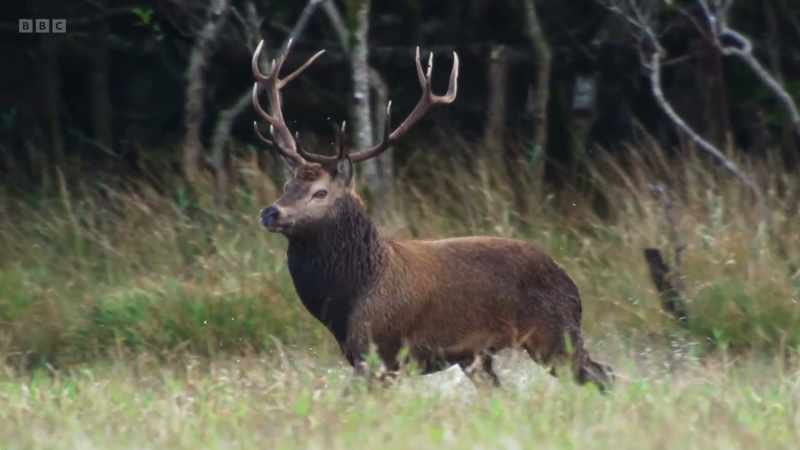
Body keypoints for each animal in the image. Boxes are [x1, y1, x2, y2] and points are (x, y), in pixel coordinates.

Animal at [252, 39, 613, 390]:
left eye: (320, 192)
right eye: (287, 184)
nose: (271, 212)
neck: (349, 298)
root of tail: (571, 283)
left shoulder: (380, 353)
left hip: (555, 333)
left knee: (603, 374)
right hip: (480, 356)